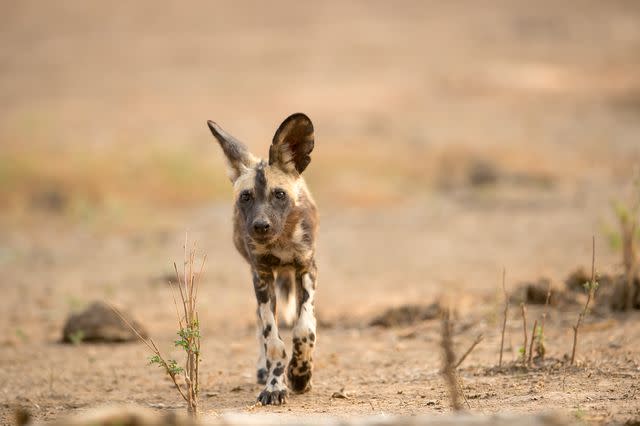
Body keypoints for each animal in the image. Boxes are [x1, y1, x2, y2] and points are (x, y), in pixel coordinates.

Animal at [208, 113, 318, 406]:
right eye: (246, 197)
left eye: (279, 194)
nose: (260, 226)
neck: (281, 240)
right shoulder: (262, 275)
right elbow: (273, 340)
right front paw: (275, 385)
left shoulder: (306, 268)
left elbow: (304, 328)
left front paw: (300, 375)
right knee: (260, 324)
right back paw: (263, 369)